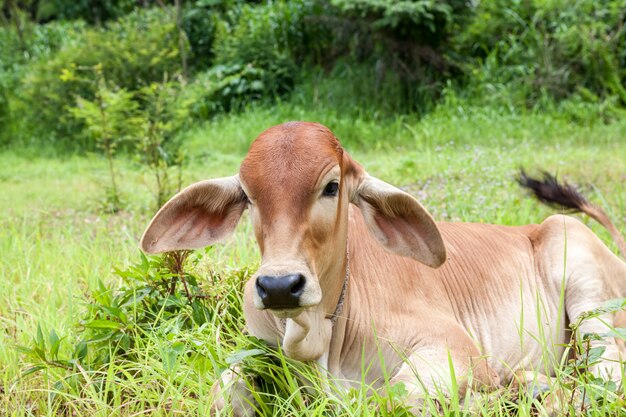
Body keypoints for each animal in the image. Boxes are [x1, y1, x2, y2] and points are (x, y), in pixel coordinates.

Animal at [139, 121, 620, 412]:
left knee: (606, 378)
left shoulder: (457, 349)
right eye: (249, 196)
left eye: (331, 186)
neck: (324, 338)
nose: (279, 286)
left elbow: (392, 399)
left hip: (588, 290)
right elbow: (226, 388)